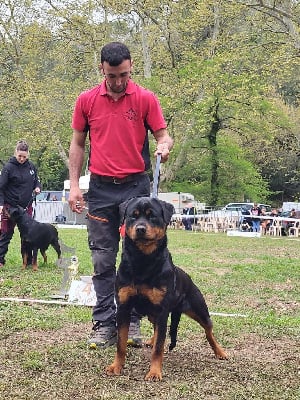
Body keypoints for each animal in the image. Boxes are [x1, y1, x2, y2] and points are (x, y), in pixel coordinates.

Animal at [106, 197, 226, 382]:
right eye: (133, 216)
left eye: (152, 216)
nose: (140, 229)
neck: (143, 260)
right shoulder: (124, 308)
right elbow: (121, 343)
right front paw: (116, 366)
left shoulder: (162, 311)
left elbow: (159, 347)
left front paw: (155, 372)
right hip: (153, 313)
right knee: (157, 329)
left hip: (200, 310)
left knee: (209, 332)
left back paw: (220, 351)